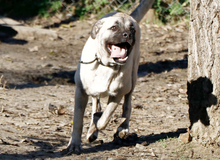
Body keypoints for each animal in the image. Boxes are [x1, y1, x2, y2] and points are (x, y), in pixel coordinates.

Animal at [66, 0, 154, 154]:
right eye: (114, 27)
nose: (128, 34)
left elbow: (105, 118)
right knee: (96, 103)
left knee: (127, 105)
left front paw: (98, 122)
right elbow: (78, 120)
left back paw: (122, 128)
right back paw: (92, 131)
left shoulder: (117, 94)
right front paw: (74, 144)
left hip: (132, 80)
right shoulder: (80, 92)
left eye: (132, 30)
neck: (106, 64)